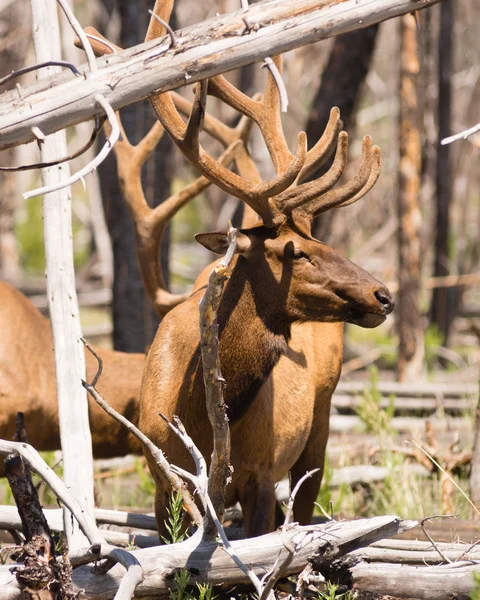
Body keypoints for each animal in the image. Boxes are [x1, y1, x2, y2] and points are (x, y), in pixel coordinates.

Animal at [79, 3, 394, 540]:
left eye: (323, 241)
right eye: (295, 251)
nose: (382, 295)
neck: (199, 417)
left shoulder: (260, 473)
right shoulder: (162, 476)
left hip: (321, 421)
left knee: (305, 504)